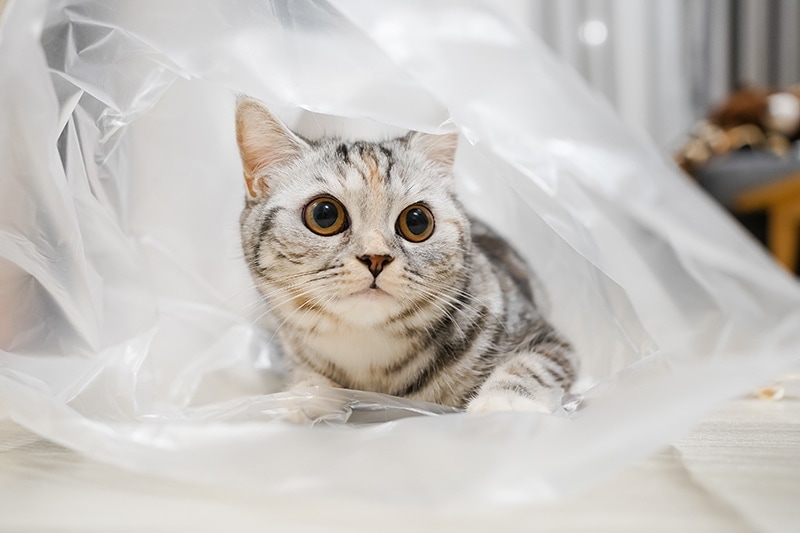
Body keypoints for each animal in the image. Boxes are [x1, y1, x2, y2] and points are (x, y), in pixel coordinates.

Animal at [234, 97, 580, 414]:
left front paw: (504, 405)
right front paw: (306, 398)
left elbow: (531, 366)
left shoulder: (548, 339)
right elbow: (305, 376)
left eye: (416, 222)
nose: (376, 257)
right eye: (324, 215)